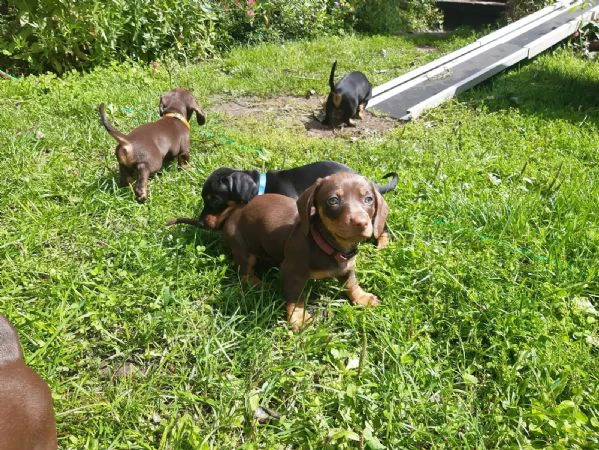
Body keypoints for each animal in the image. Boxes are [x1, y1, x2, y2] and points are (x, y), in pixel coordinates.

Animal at [220, 174, 390, 332]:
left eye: (368, 199)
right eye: (333, 200)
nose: (361, 223)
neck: (325, 244)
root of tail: (234, 213)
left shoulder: (347, 268)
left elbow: (351, 284)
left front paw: (362, 298)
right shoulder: (292, 272)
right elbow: (296, 297)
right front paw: (298, 317)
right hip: (243, 249)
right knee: (245, 273)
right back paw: (260, 285)